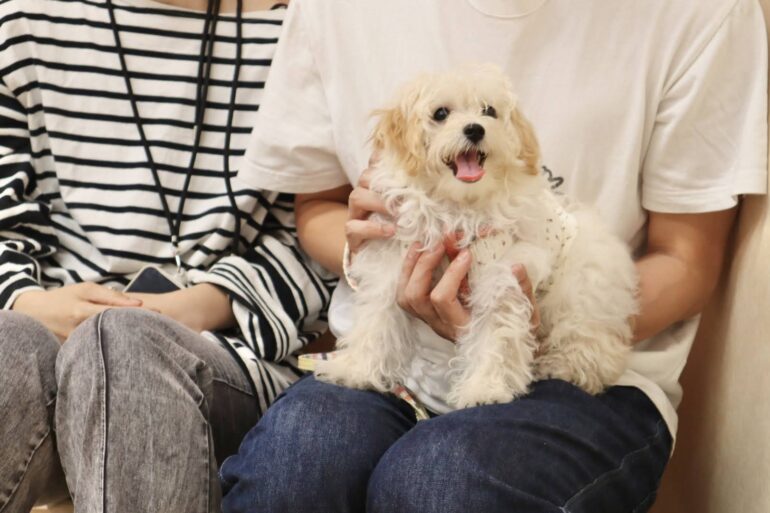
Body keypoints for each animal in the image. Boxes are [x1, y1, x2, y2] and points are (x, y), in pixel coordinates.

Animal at [314, 65, 636, 408]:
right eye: (441, 113)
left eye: (489, 111)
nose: (475, 129)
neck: (458, 203)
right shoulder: (395, 261)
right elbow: (378, 319)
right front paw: (356, 369)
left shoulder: (503, 271)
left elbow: (496, 331)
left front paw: (484, 388)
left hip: (580, 291)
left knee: (590, 341)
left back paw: (566, 367)